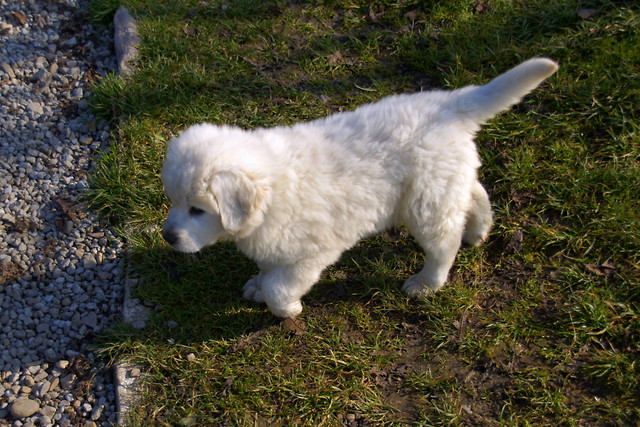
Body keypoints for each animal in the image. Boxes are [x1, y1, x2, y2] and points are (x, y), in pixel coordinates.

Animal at [162, 56, 556, 318]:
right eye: (174, 201)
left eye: (197, 210)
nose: (168, 237)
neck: (272, 190)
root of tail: (449, 104)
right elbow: (268, 269)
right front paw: (257, 284)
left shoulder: (312, 253)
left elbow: (280, 286)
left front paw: (287, 308)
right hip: (444, 181)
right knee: (475, 192)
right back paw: (479, 231)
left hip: (426, 203)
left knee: (444, 243)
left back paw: (426, 283)